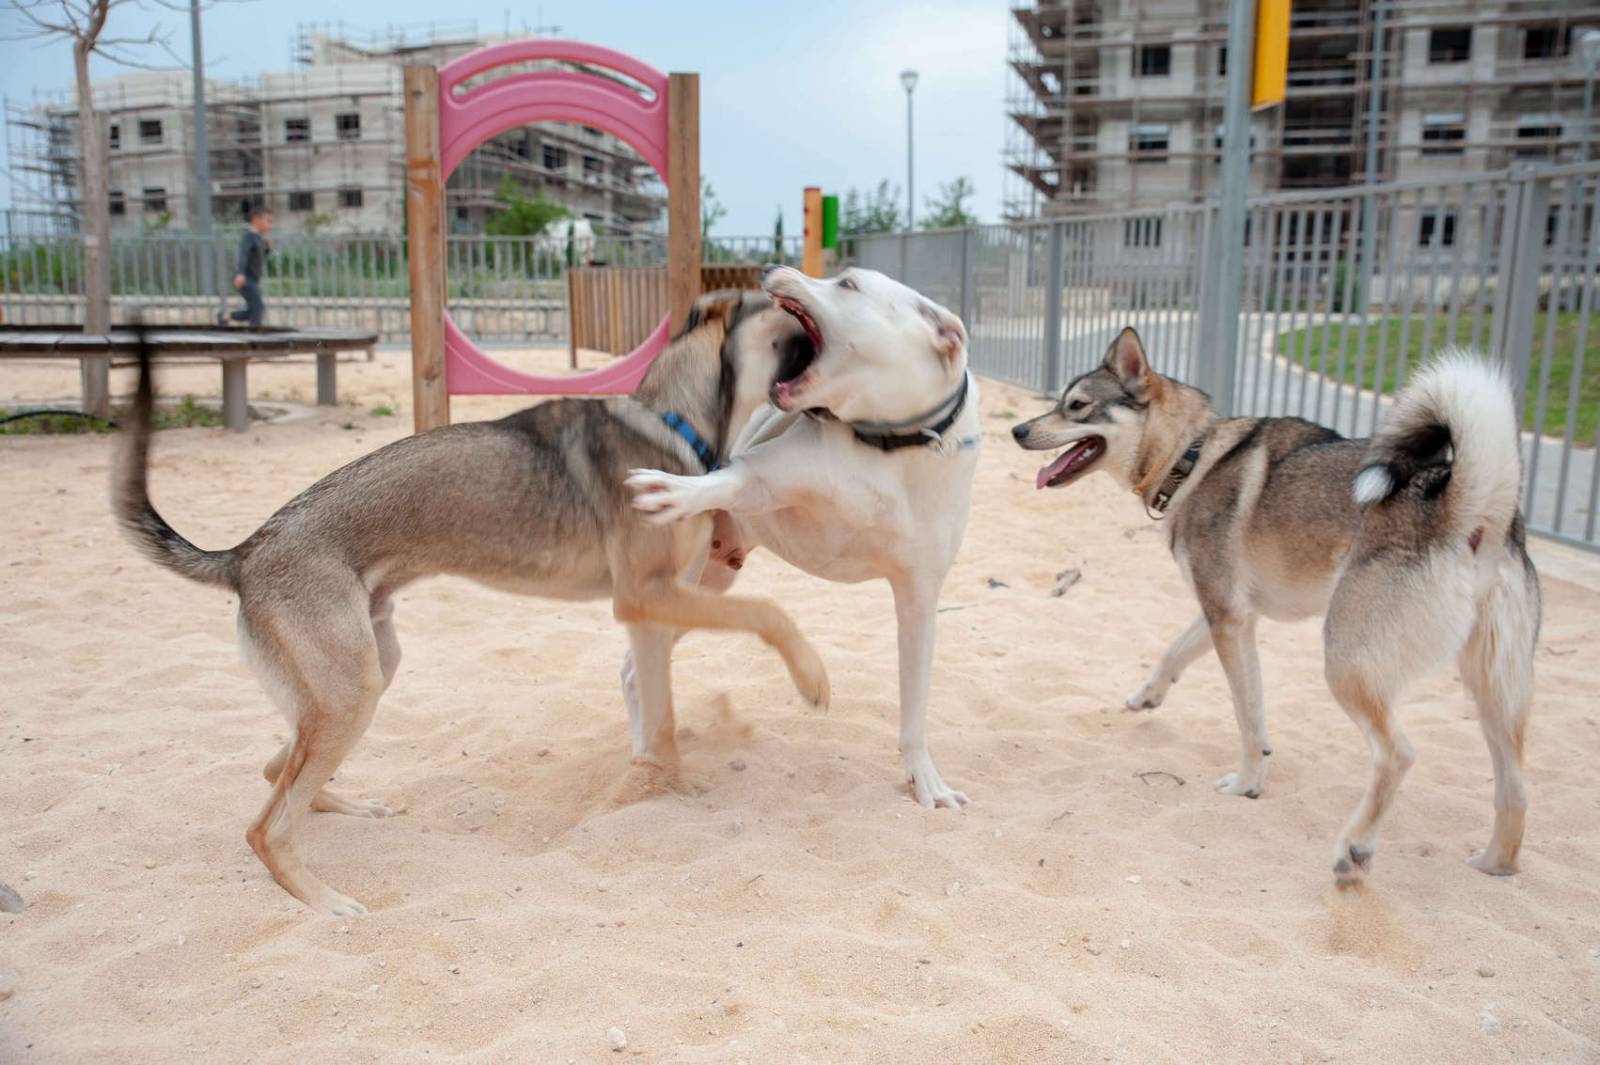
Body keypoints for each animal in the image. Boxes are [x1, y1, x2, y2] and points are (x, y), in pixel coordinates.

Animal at [116, 295, 832, 914]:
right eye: (778, 303)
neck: (674, 419)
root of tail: (244, 553)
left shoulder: (653, 610)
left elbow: (659, 713)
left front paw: (661, 787)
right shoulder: (645, 597)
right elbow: (767, 614)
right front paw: (811, 679)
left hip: (368, 670)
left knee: (278, 771)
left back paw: (349, 808)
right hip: (353, 689)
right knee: (265, 827)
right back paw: (322, 900)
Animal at [620, 267, 972, 805]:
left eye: (847, 283)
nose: (772, 269)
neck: (886, 444)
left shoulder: (919, 602)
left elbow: (915, 708)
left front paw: (926, 779)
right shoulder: (758, 478)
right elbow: (722, 481)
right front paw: (675, 490)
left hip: (705, 590)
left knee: (633, 669)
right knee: (638, 670)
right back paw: (647, 766)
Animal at [1011, 327, 1536, 882]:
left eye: (1076, 406)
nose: (1018, 430)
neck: (1191, 457)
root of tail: (1470, 511)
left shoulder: (1227, 618)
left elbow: (1247, 715)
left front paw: (1246, 784)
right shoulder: (1230, 614)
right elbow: (1176, 652)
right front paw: (1146, 696)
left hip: (1346, 664)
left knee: (1399, 756)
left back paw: (1354, 848)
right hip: (1494, 692)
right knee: (1516, 789)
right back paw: (1495, 864)